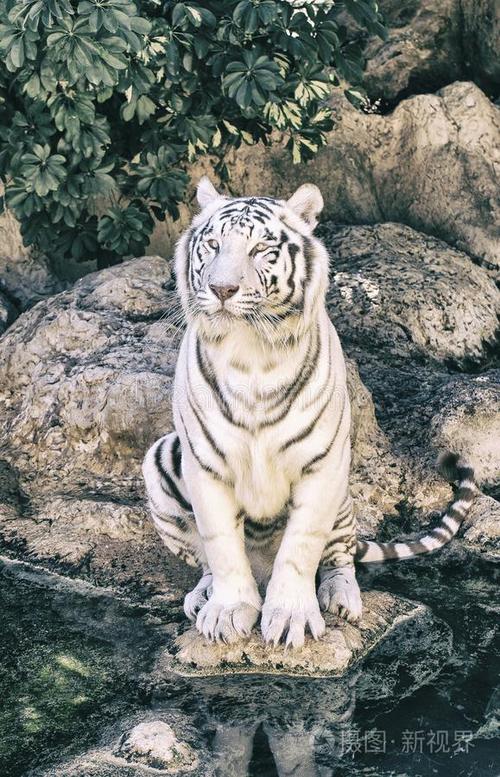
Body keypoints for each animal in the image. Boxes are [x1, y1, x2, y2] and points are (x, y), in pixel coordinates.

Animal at [142, 177, 478, 649]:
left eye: (260, 249)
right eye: (212, 245)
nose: (222, 290)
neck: (249, 353)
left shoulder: (322, 464)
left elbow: (301, 548)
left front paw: (291, 619)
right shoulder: (205, 466)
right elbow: (221, 546)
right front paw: (227, 611)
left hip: (343, 492)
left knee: (339, 555)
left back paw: (341, 597)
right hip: (160, 458)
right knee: (207, 559)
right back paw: (203, 595)